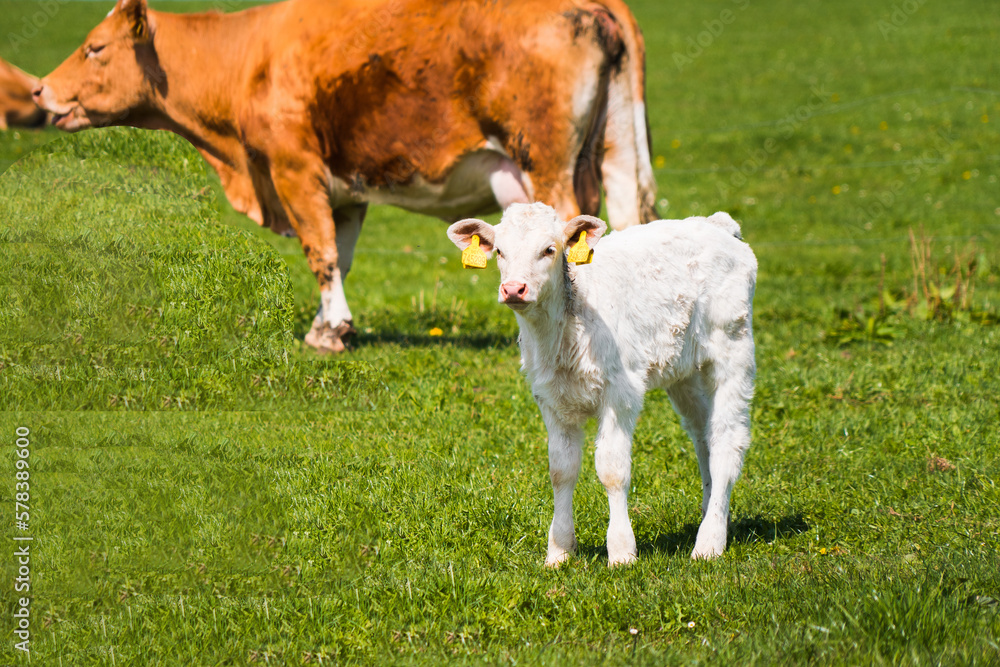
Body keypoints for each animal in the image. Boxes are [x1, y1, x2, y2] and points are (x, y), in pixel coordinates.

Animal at [33, 0, 659, 353]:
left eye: (95, 48)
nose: (39, 90)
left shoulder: (294, 169)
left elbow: (321, 252)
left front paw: (332, 332)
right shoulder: (346, 189)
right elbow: (343, 252)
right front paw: (325, 324)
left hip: (546, 163)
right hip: (615, 155)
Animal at [447, 203, 757, 565]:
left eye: (549, 249)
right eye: (499, 251)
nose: (513, 289)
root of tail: (715, 223)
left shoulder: (620, 393)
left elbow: (612, 470)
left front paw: (621, 551)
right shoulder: (550, 398)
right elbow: (561, 470)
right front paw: (559, 551)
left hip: (733, 348)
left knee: (727, 440)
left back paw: (709, 542)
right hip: (684, 373)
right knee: (702, 435)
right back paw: (713, 516)